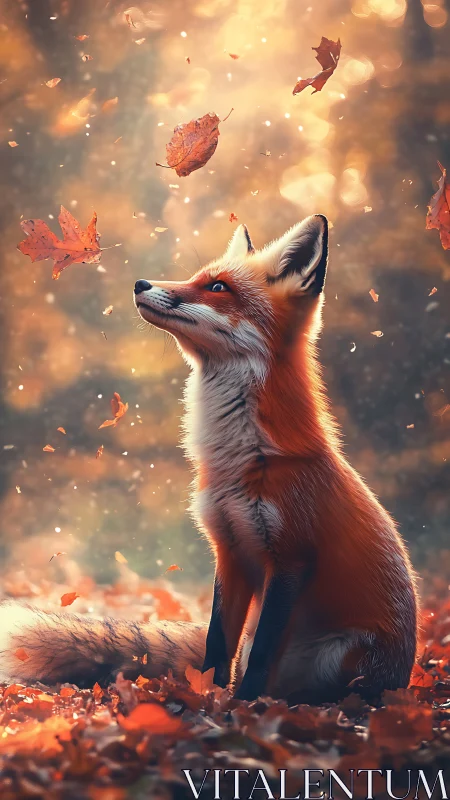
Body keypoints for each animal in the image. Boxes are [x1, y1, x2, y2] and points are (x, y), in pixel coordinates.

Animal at [0, 215, 418, 704]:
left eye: (218, 287)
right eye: (197, 278)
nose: (140, 283)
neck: (240, 461)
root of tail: (401, 678)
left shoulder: (291, 560)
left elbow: (260, 655)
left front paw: (246, 707)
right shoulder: (230, 549)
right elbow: (218, 645)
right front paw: (208, 699)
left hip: (345, 658)